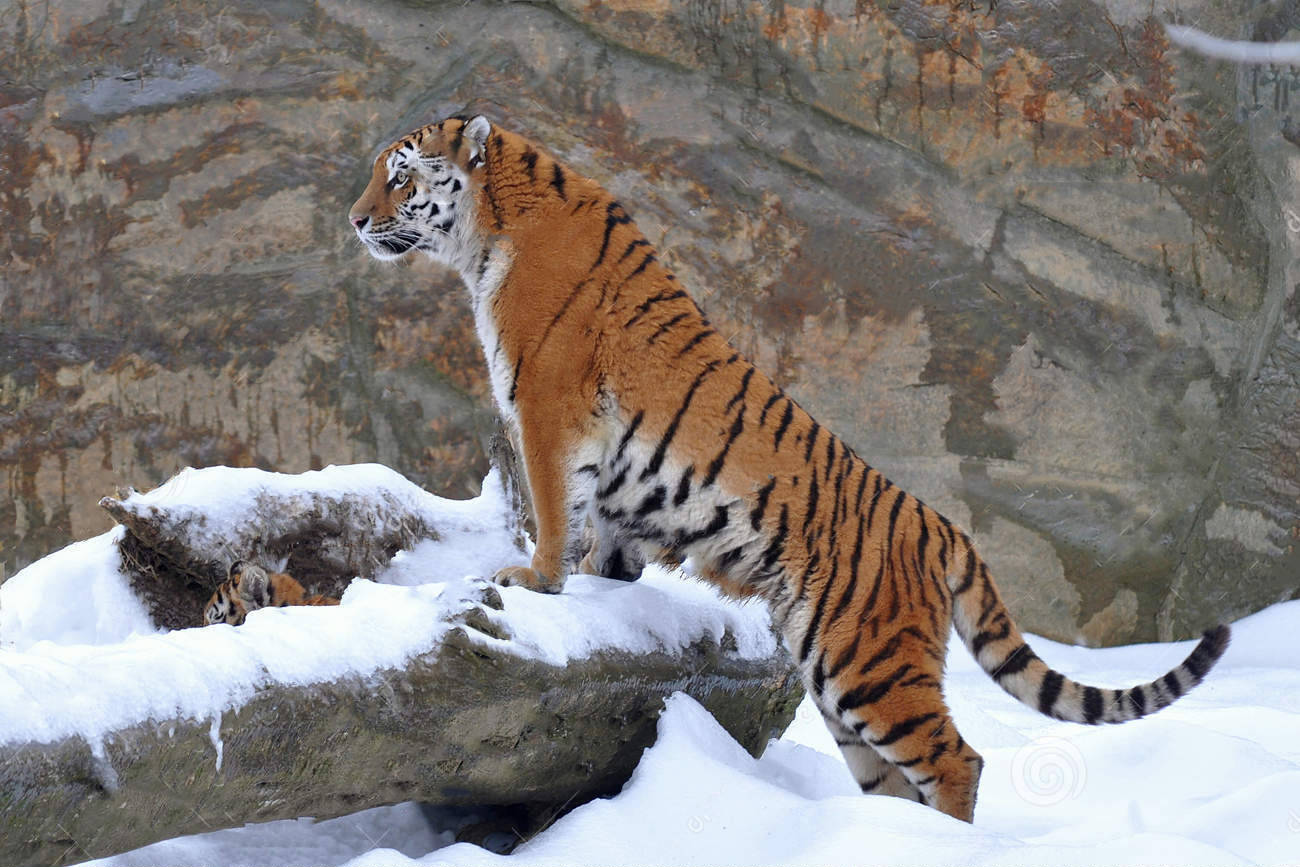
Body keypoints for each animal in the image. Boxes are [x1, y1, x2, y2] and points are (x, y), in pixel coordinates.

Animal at [345, 116, 1227, 826]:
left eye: (400, 176)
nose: (354, 220)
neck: (488, 229)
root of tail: (943, 525)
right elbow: (608, 535)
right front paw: (603, 588)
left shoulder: (547, 408)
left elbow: (558, 509)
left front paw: (534, 578)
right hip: (841, 679)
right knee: (899, 778)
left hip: (868, 663)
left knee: (957, 759)